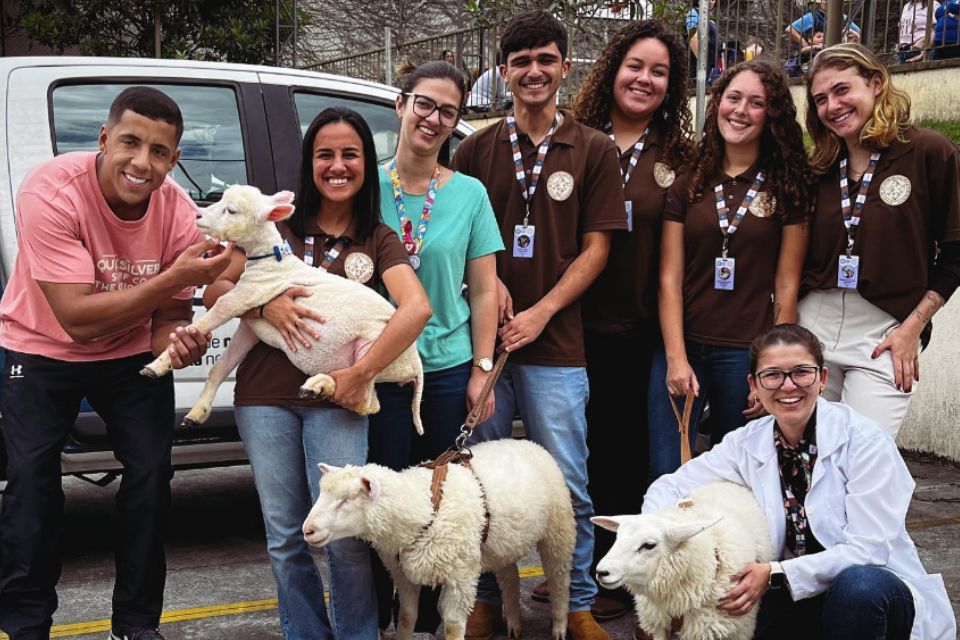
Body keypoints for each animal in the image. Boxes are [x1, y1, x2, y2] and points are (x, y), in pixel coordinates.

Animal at [142, 185, 424, 430]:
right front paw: (197, 412)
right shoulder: (250, 326)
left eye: (231, 210)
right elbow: (220, 367)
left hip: (375, 350)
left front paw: (157, 365)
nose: (197, 216)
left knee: (363, 398)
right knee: (368, 402)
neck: (271, 262)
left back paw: (318, 385)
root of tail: (415, 366)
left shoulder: (244, 296)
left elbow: (205, 320)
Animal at [304, 440, 572, 640]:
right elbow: (406, 616)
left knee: (559, 578)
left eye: (345, 500)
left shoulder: (460, 576)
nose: (308, 530)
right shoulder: (402, 573)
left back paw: (559, 626)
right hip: (503, 542)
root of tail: (528, 442)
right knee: (510, 578)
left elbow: (453, 625)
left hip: (558, 530)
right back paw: (515, 624)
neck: (423, 508)